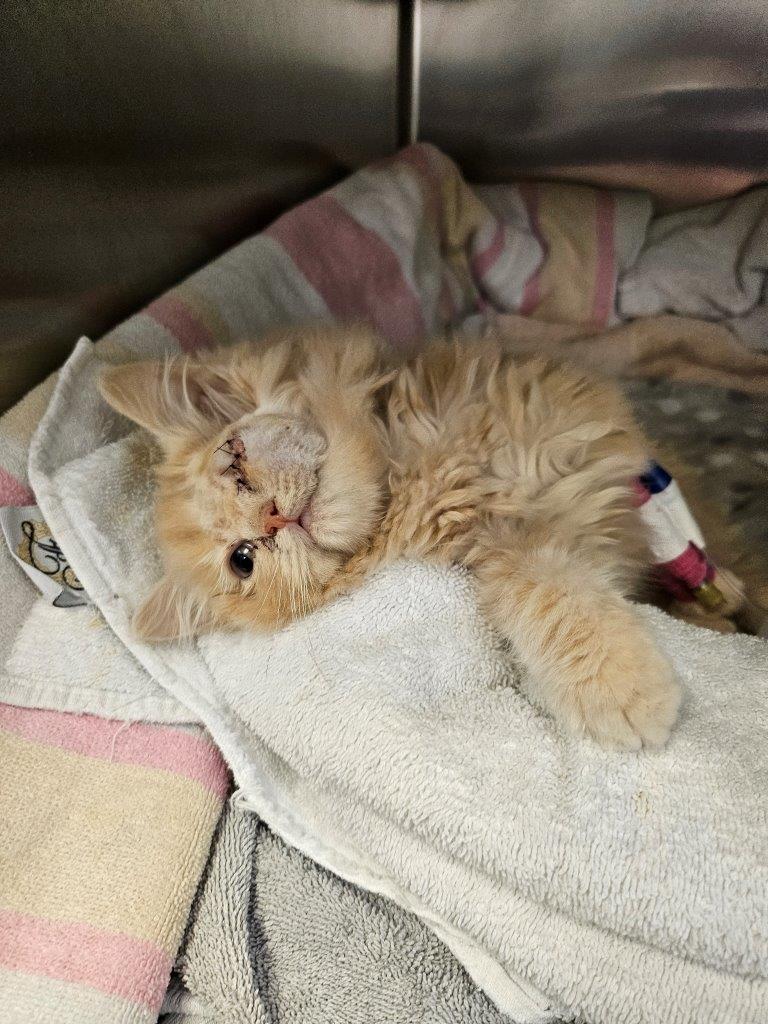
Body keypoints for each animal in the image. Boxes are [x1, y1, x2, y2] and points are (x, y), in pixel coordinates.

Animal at [102, 327, 684, 753]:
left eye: (234, 462)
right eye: (242, 561)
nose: (272, 521)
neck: (426, 468)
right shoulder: (508, 549)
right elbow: (552, 596)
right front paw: (622, 687)